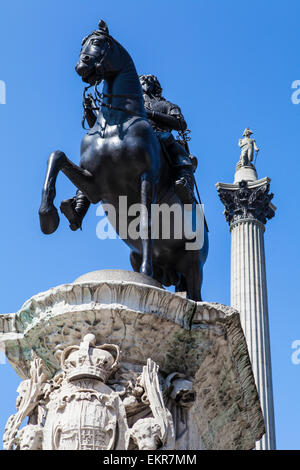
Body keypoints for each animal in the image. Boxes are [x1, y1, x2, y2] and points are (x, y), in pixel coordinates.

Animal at [38, 20, 209, 300]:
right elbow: (57, 157)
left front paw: (146, 274)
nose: (81, 66)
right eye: (82, 43)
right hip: (139, 257)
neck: (116, 122)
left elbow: (146, 223)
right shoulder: (95, 185)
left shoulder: (146, 179)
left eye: (97, 42)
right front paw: (49, 216)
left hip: (194, 263)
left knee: (195, 294)